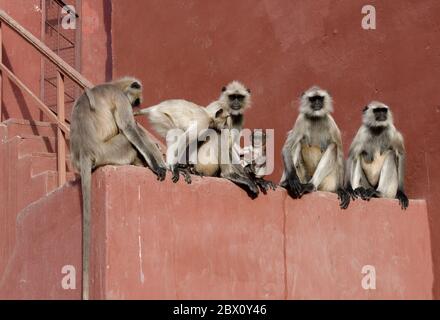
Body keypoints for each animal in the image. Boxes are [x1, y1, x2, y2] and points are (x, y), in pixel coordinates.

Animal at [70, 77, 167, 300]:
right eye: (136, 100)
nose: (136, 106)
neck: (114, 84)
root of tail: (85, 152)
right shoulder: (120, 98)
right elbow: (129, 127)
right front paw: (156, 165)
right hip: (111, 151)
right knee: (130, 136)